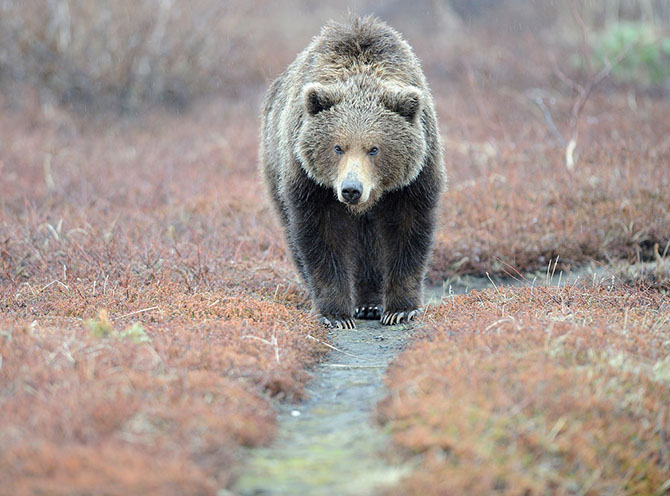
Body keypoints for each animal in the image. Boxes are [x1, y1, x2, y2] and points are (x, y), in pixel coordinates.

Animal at [262, 15, 446, 328]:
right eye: (338, 147)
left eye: (374, 149)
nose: (351, 189)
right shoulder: (311, 183)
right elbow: (321, 239)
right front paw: (336, 314)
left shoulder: (413, 180)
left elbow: (408, 233)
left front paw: (400, 309)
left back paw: (370, 303)